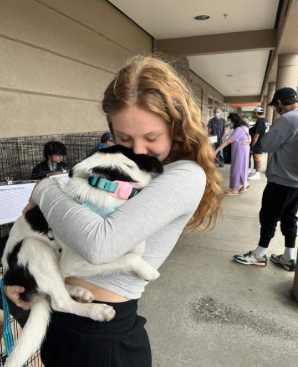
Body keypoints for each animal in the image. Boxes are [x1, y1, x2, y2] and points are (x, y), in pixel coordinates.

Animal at [1, 146, 163, 367]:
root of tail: (11, 278)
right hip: (33, 247)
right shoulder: (77, 259)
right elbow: (130, 258)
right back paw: (97, 311)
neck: (106, 184)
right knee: (60, 301)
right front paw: (147, 271)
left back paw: (80, 291)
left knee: (59, 284)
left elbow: (136, 247)